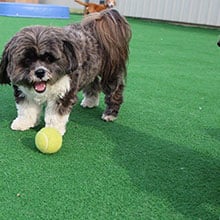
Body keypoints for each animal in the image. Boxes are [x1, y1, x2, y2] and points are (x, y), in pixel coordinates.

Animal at [0, 9, 131, 135]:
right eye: (27, 60)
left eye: (49, 58)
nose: (40, 72)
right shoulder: (25, 94)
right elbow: (26, 110)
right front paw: (23, 123)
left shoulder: (63, 93)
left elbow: (55, 116)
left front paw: (53, 131)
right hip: (90, 69)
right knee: (93, 83)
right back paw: (90, 101)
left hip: (110, 73)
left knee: (115, 91)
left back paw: (110, 113)